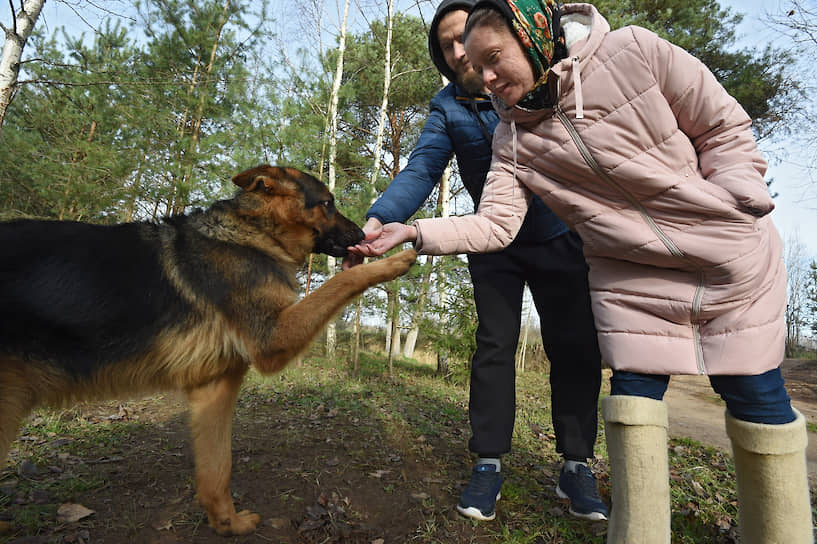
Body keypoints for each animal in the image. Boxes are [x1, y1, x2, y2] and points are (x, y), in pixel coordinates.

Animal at [0, 165, 418, 536]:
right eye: (327, 203)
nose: (364, 232)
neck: (254, 234)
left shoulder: (214, 388)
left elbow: (217, 469)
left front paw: (227, 524)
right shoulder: (272, 338)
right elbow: (341, 281)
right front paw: (397, 259)